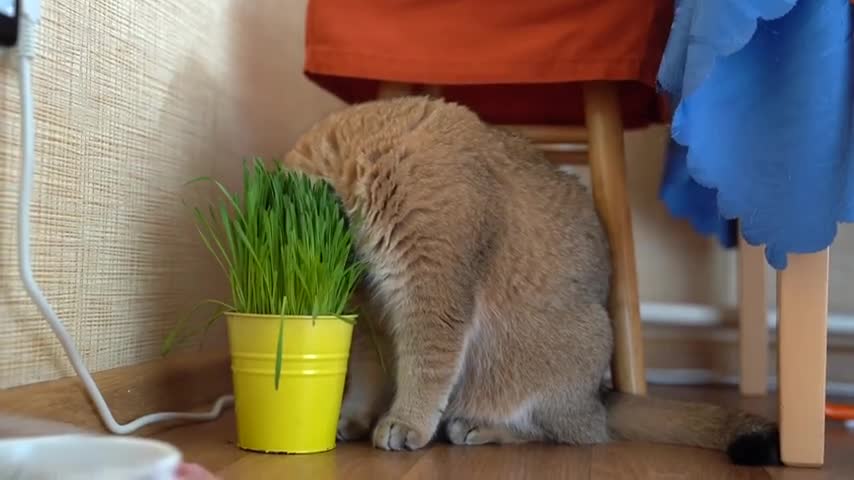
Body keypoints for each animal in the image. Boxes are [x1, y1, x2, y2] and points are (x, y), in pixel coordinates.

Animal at [282, 94, 784, 464]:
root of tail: (598, 396)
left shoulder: (432, 287)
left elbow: (427, 365)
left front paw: (406, 423)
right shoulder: (371, 311)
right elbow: (368, 369)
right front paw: (351, 417)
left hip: (563, 358)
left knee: (576, 433)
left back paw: (478, 426)